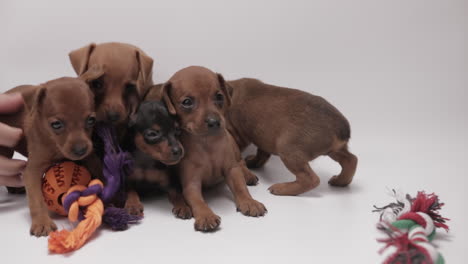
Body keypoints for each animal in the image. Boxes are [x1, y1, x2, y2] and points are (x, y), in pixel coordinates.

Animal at [0, 77, 97, 236]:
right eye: (56, 124)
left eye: (91, 120)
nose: (81, 150)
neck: (53, 143)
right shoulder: (31, 171)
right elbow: (36, 199)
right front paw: (42, 222)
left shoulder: (88, 157)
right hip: (5, 150)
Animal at [124, 89, 192, 220]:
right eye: (152, 134)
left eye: (177, 130)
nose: (178, 150)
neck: (146, 160)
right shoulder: (127, 182)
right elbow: (130, 192)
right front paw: (133, 205)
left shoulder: (170, 184)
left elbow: (178, 194)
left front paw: (183, 206)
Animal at [161, 66, 266, 233]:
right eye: (187, 102)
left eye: (219, 96)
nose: (214, 122)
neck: (207, 143)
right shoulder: (191, 183)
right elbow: (197, 201)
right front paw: (206, 216)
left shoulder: (231, 170)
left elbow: (240, 187)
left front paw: (249, 202)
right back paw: (182, 207)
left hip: (234, 147)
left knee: (240, 162)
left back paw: (248, 175)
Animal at [225, 78, 356, 196]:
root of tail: (342, 128)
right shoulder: (263, 137)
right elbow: (262, 154)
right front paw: (253, 162)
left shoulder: (237, 135)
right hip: (334, 150)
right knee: (351, 160)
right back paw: (340, 181)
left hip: (288, 150)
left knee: (311, 179)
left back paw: (281, 188)